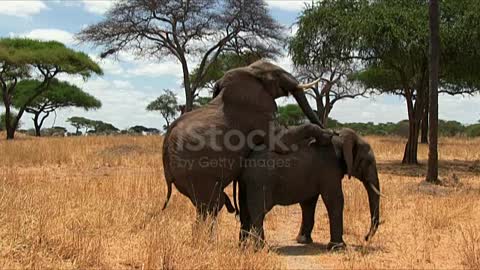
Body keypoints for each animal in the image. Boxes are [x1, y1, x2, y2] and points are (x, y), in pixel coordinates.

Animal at [163, 60, 328, 218]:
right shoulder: (255, 111)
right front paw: (327, 135)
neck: (250, 70)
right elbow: (281, 141)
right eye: (276, 75)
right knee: (211, 205)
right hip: (195, 173)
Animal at [238, 127, 380, 250]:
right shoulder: (329, 168)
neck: (340, 137)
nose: (365, 237)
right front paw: (337, 247)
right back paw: (261, 248)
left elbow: (308, 203)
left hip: (247, 184)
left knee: (245, 212)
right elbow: (334, 199)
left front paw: (303, 241)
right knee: (259, 212)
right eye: (367, 162)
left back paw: (243, 247)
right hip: (259, 182)